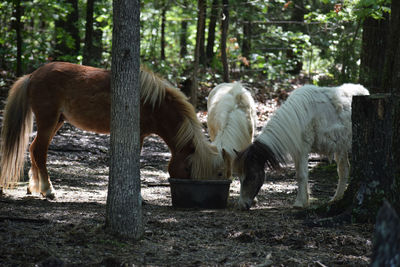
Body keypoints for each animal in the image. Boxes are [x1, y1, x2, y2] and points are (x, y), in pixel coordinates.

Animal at [0, 61, 231, 199]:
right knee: (39, 150)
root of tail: (32, 75)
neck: (155, 103)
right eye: (218, 173)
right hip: (48, 120)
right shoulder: (138, 135)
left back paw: (34, 187)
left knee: (33, 149)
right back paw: (48, 190)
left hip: (57, 121)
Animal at [236, 82, 370, 210]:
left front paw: (299, 203)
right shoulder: (297, 151)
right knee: (343, 169)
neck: (296, 118)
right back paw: (336, 198)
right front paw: (305, 201)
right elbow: (300, 175)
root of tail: (364, 91)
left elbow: (302, 175)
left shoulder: (303, 149)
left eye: (252, 177)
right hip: (341, 146)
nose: (242, 205)